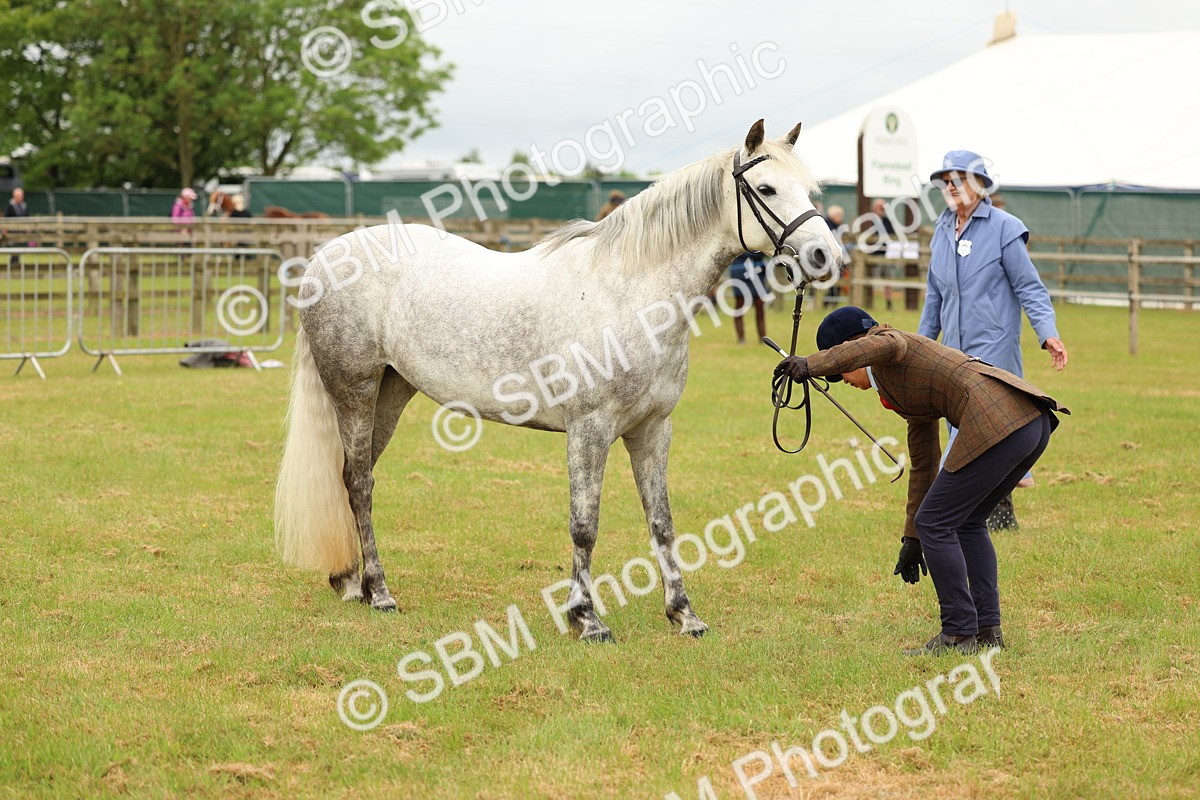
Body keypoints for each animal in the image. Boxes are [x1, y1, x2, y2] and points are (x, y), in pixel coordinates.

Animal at [274, 120, 841, 642]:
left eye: (811, 190)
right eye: (766, 188)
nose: (825, 257)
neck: (629, 293)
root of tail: (326, 256)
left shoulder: (653, 429)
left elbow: (661, 522)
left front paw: (684, 615)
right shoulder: (589, 430)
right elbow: (584, 525)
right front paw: (586, 620)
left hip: (390, 394)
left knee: (351, 477)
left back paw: (352, 582)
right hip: (355, 393)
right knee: (359, 483)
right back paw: (380, 592)